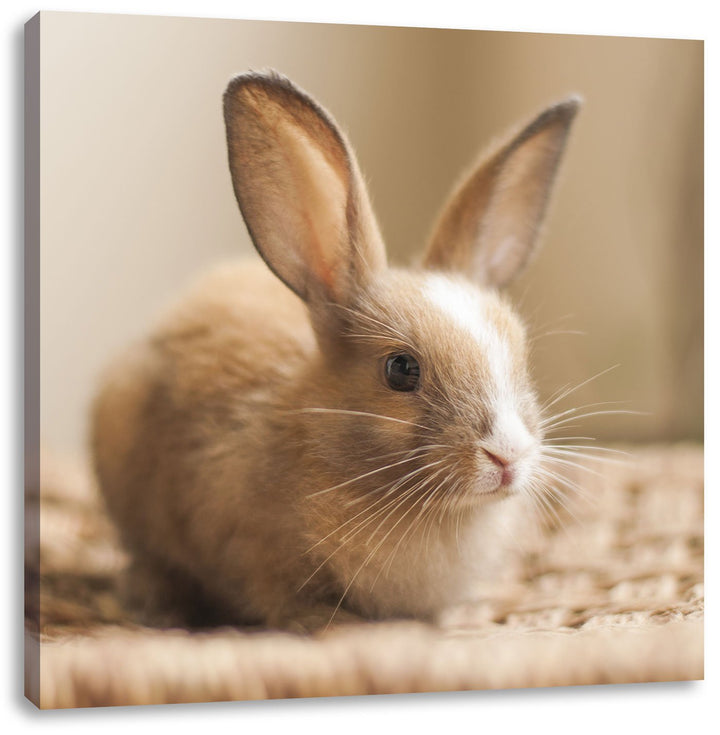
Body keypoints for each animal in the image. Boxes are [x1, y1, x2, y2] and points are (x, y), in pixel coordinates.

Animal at [91, 70, 580, 632]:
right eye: (401, 369)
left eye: (520, 355)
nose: (507, 455)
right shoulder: (251, 553)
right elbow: (278, 599)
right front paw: (328, 623)